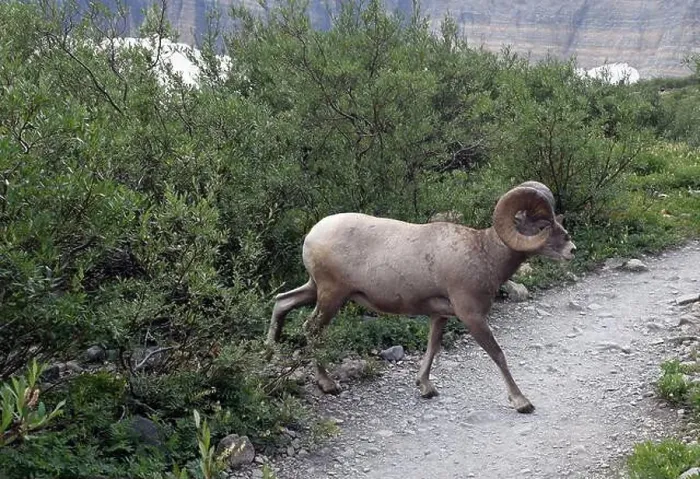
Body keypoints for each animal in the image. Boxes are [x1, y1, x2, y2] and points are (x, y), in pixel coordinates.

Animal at [266, 181, 576, 413]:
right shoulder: (472, 317)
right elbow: (497, 354)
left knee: (282, 302)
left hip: (315, 289)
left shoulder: (440, 316)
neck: (484, 253)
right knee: (312, 329)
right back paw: (328, 384)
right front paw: (522, 402)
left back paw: (269, 351)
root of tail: (313, 235)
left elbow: (432, 347)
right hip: (331, 296)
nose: (571, 249)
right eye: (541, 225)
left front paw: (426, 387)